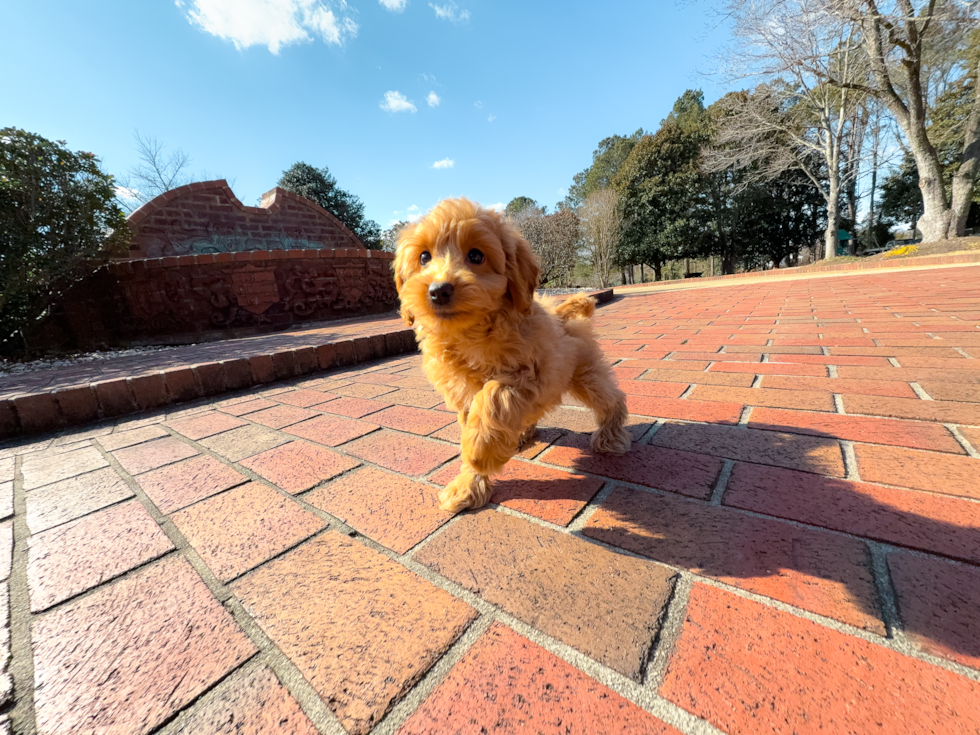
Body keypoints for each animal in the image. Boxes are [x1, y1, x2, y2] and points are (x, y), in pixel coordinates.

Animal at [394, 198, 632, 516]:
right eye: (423, 257)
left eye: (476, 255)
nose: (438, 290)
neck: (471, 334)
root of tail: (561, 312)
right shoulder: (462, 393)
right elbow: (475, 417)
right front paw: (468, 485)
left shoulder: (529, 374)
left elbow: (493, 396)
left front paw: (480, 452)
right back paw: (519, 435)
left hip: (585, 374)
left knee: (611, 398)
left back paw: (609, 436)